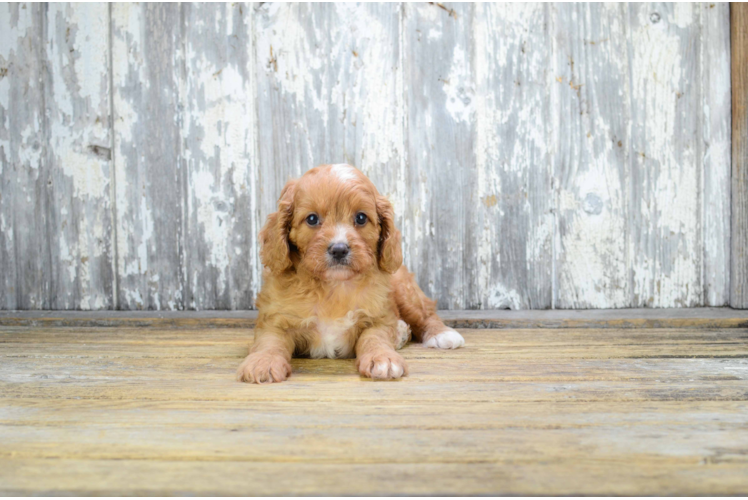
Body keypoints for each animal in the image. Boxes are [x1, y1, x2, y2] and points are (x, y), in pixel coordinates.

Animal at [237, 164, 464, 382]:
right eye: (312, 219)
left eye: (361, 218)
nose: (339, 249)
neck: (334, 286)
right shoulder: (275, 317)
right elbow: (270, 341)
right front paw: (263, 362)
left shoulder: (378, 315)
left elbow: (374, 337)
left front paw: (383, 358)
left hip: (404, 290)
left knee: (425, 312)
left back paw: (441, 334)